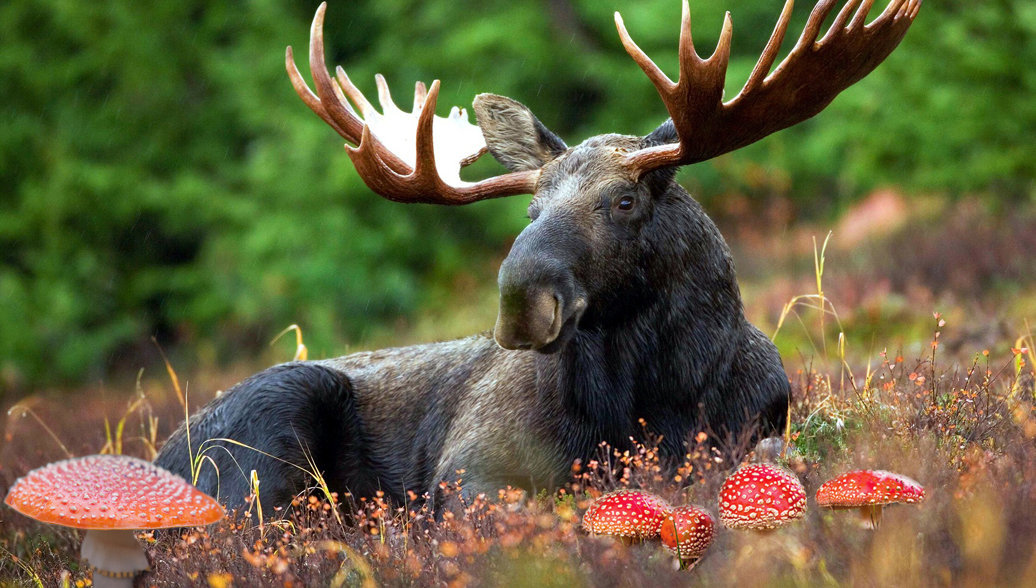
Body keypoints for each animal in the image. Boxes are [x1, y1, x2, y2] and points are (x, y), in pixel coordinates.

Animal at [151, 0, 915, 511]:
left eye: (624, 201)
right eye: (530, 210)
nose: (521, 301)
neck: (657, 402)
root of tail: (159, 453)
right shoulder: (470, 469)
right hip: (266, 435)